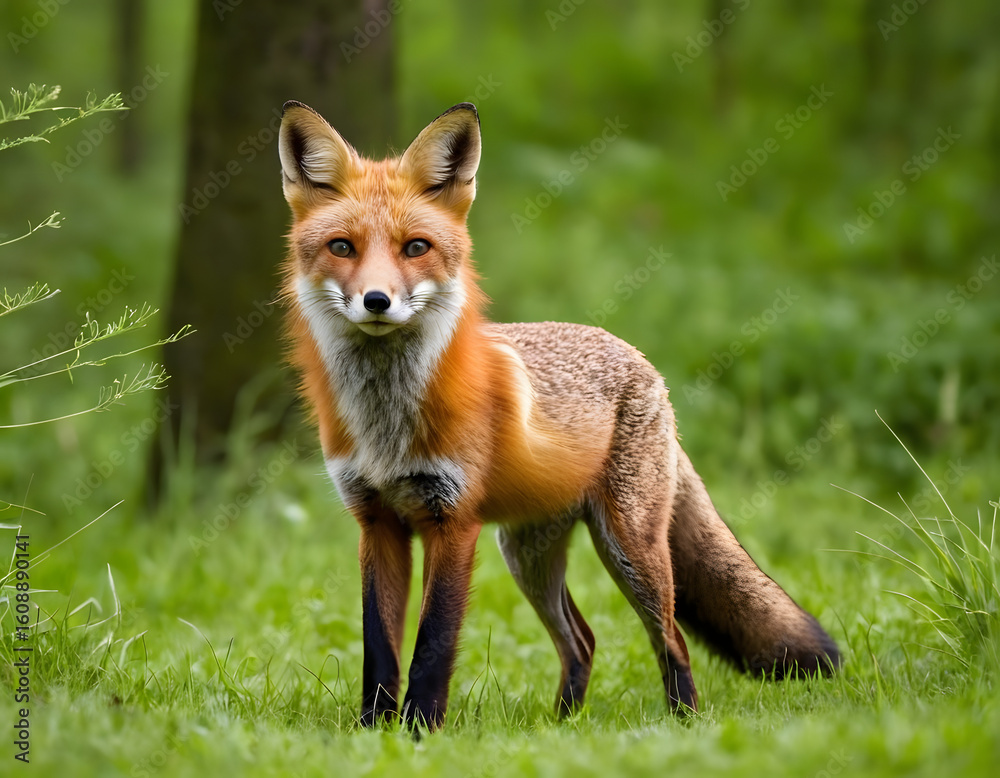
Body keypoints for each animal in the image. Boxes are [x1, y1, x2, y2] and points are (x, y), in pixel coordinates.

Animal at [277, 101, 839, 731]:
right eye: (342, 247)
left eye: (415, 248)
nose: (377, 301)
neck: (387, 424)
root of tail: (642, 360)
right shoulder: (377, 522)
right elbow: (380, 647)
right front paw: (374, 732)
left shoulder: (454, 522)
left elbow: (432, 646)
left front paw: (420, 732)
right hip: (529, 556)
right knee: (583, 640)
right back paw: (564, 723)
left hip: (629, 548)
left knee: (671, 639)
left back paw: (683, 723)